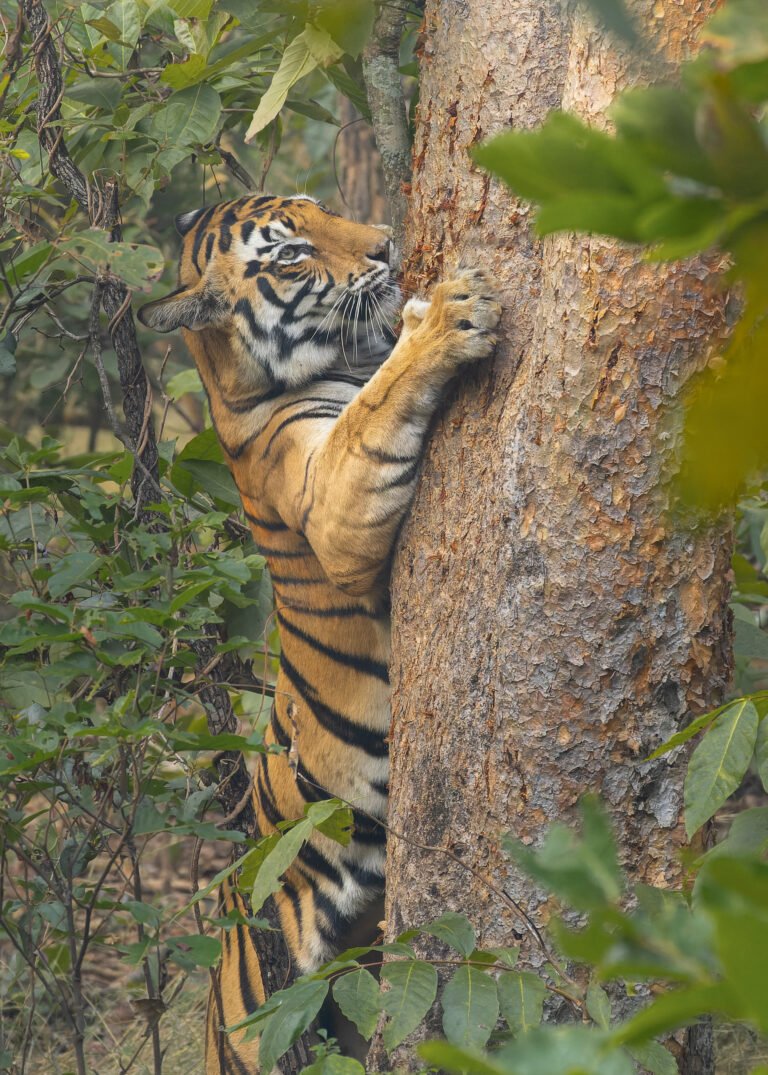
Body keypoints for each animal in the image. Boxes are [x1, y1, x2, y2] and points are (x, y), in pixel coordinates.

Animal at [138, 193, 501, 1073]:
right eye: (292, 254)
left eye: (319, 208)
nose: (387, 245)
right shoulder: (331, 497)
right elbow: (379, 406)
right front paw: (448, 314)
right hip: (263, 1025)